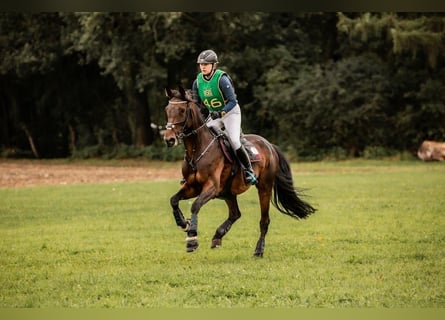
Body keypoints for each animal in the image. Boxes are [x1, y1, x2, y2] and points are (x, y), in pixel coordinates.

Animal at [161, 87, 314, 258]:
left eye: (182, 110)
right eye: (167, 110)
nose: (169, 139)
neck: (197, 150)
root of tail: (269, 145)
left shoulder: (211, 187)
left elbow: (195, 206)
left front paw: (192, 238)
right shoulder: (192, 187)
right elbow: (174, 200)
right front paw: (183, 223)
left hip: (264, 187)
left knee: (264, 220)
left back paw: (258, 250)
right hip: (228, 192)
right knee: (235, 214)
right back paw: (218, 236)